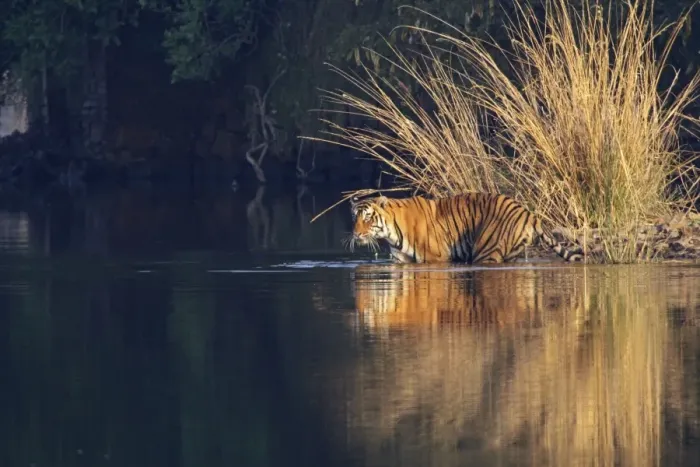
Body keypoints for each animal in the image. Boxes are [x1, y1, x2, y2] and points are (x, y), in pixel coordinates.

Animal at [348, 193, 583, 264]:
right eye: (355, 218)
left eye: (368, 218)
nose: (356, 233)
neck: (391, 233)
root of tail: (528, 213)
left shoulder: (435, 259)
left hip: (486, 251)